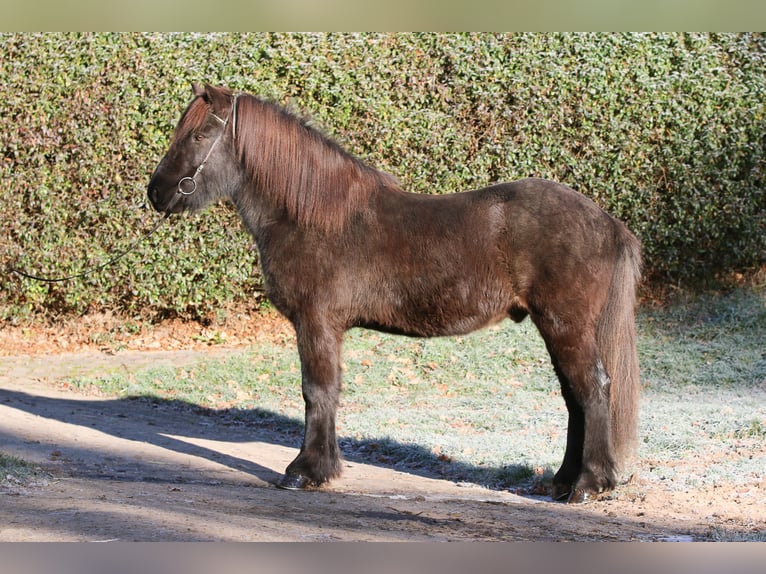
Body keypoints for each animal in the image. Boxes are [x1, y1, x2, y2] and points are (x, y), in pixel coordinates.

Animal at [147, 84, 642, 503]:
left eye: (198, 134)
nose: (156, 192)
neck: (313, 215)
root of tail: (607, 222)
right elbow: (327, 391)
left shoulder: (316, 322)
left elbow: (316, 391)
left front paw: (305, 472)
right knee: (575, 398)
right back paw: (561, 482)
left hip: (565, 325)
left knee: (593, 390)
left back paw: (588, 485)